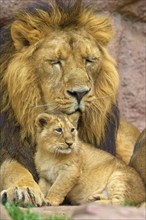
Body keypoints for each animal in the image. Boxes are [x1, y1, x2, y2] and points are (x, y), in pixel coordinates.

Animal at [0, 0, 143, 205]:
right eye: (55, 61)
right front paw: (23, 190)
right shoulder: (10, 146)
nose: (80, 92)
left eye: (89, 60)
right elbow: (12, 168)